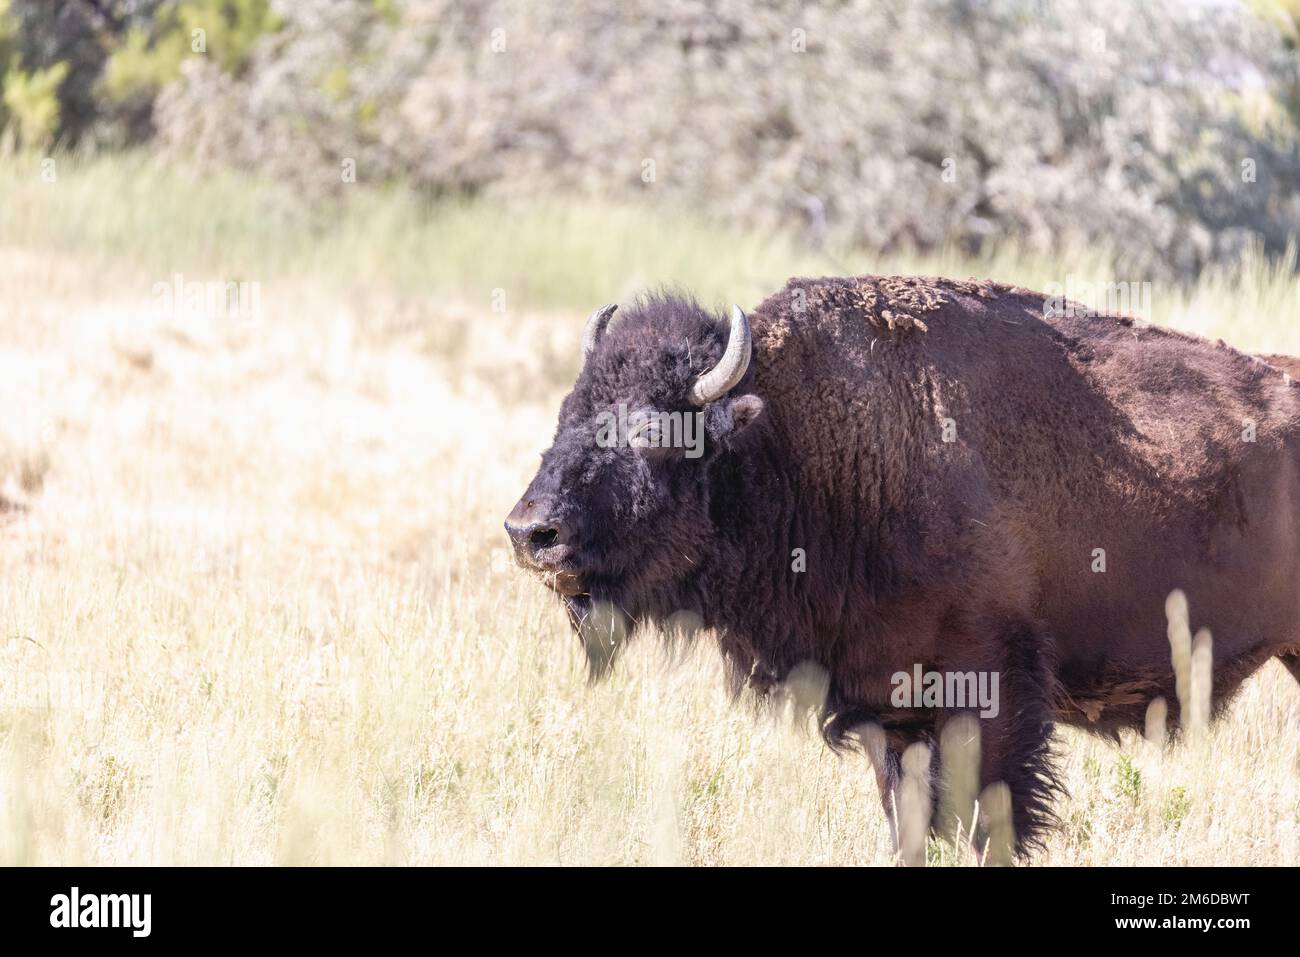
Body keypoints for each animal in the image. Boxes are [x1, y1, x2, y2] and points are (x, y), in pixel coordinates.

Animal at [505, 275, 1300, 854]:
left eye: (653, 429)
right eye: (568, 411)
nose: (530, 532)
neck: (800, 443)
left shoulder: (990, 692)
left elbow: (987, 823)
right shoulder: (893, 713)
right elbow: (911, 824)